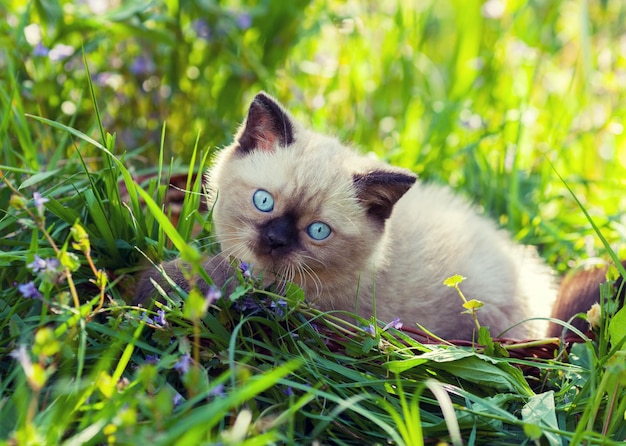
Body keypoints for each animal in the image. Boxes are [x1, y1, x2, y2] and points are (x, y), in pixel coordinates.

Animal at [136, 92, 556, 340]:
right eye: (263, 202)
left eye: (318, 231)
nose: (275, 241)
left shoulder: (300, 300)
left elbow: (211, 273)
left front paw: (154, 286)